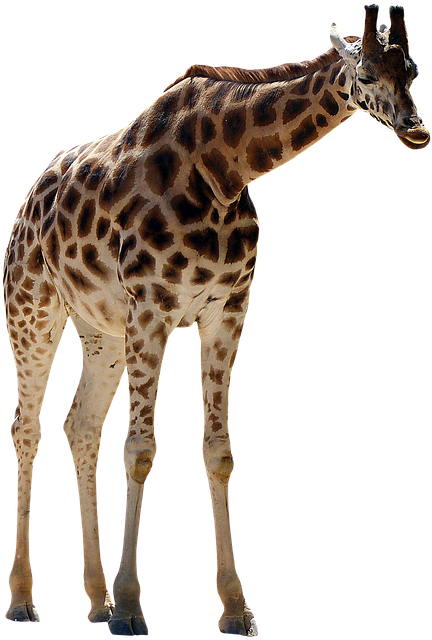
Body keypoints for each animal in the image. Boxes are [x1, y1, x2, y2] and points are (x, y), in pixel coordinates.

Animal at [2, 4, 430, 637]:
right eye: (366, 74)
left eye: (412, 71)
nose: (416, 128)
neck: (225, 169)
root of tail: (27, 205)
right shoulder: (153, 304)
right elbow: (139, 449)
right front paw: (131, 609)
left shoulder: (226, 310)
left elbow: (220, 452)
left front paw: (233, 608)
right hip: (33, 315)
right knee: (28, 430)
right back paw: (23, 605)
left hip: (101, 331)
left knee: (79, 429)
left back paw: (93, 609)